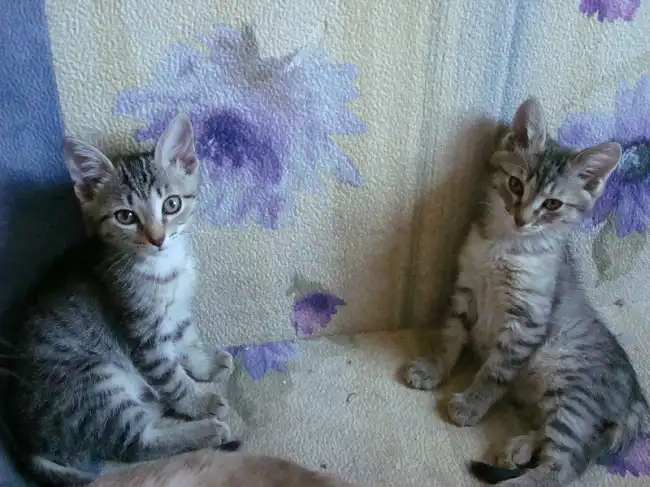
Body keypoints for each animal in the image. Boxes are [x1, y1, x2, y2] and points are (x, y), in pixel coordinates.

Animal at [1, 113, 238, 487]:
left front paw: (205, 364)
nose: (157, 238)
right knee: (137, 444)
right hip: (96, 383)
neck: (164, 269)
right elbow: (171, 376)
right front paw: (198, 401)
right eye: (125, 216)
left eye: (171, 204)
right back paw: (207, 431)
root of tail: (24, 442)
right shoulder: (142, 336)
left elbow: (185, 340)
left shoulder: (177, 313)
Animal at [402, 98, 649, 486]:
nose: (522, 219)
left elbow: (494, 372)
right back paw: (518, 446)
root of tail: (638, 400)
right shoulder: (465, 290)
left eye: (552, 205)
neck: (504, 247)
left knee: (562, 467)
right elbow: (449, 337)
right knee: (557, 440)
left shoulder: (526, 321)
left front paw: (471, 403)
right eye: (515, 184)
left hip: (572, 391)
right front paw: (433, 368)